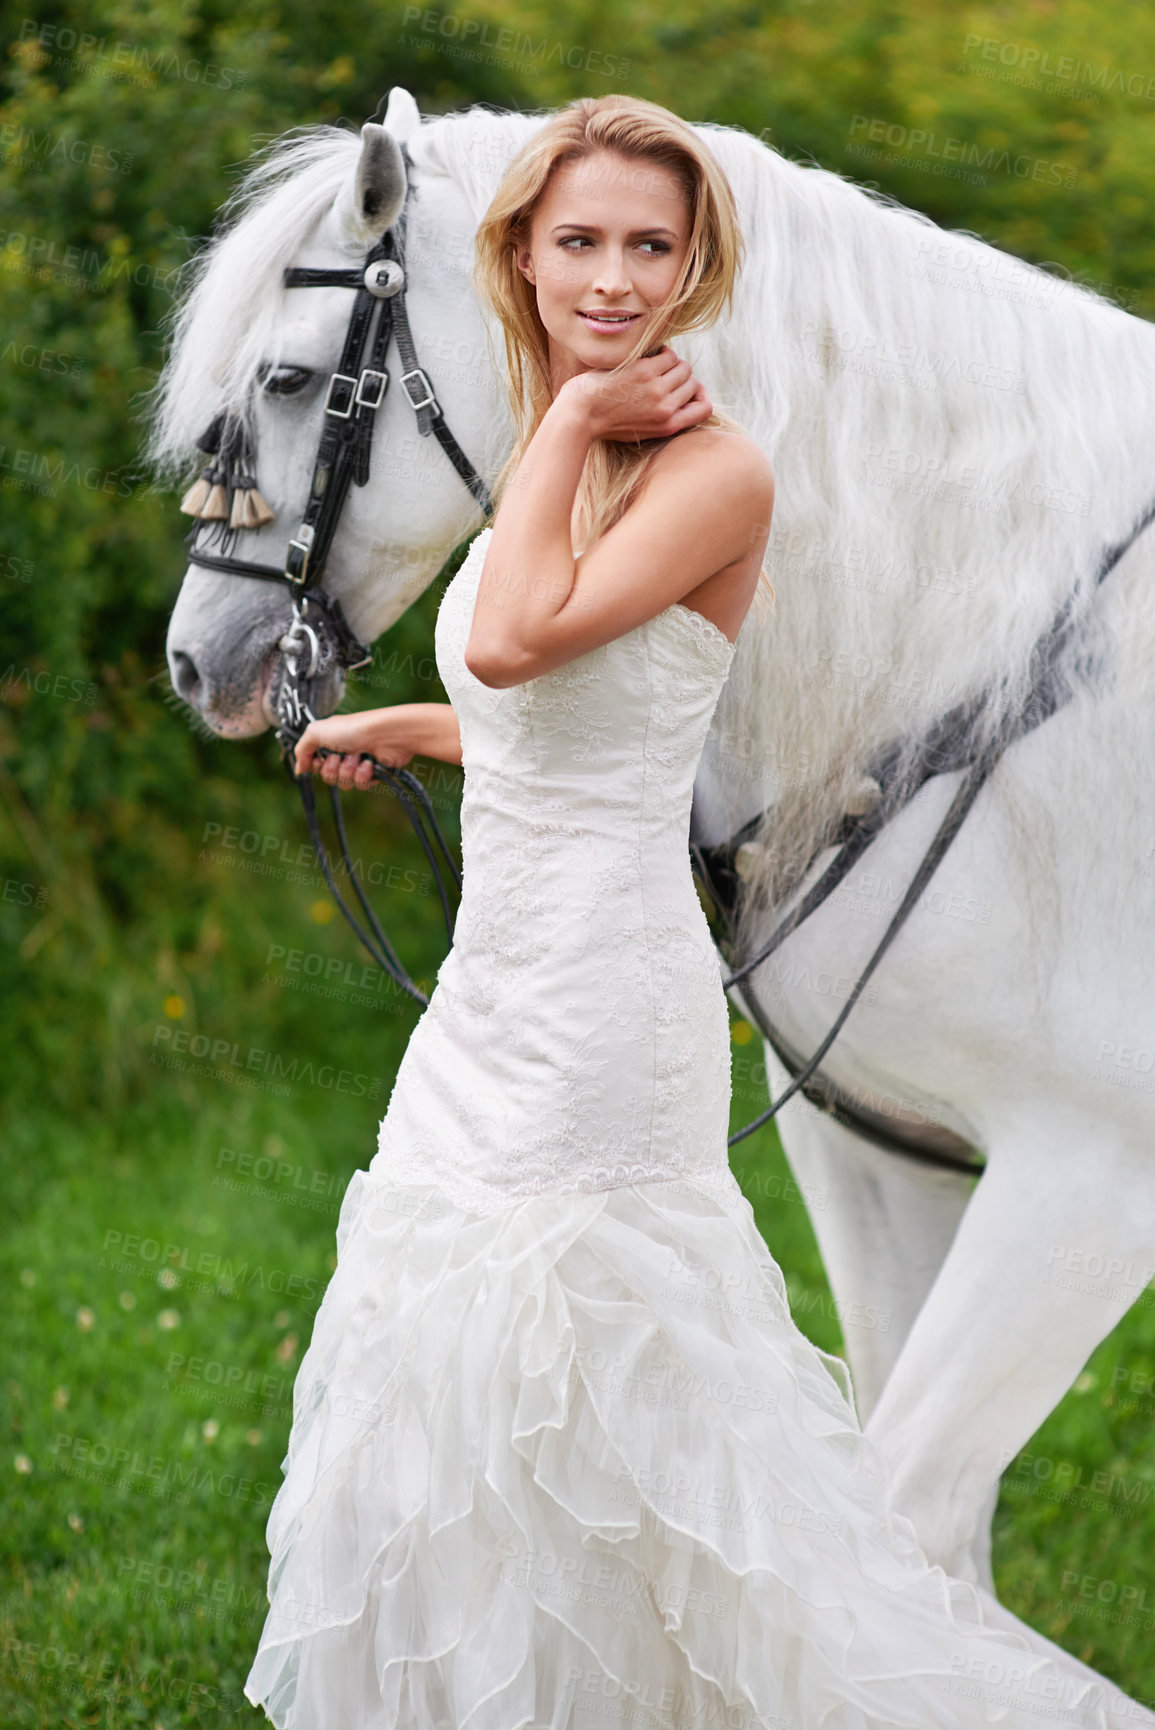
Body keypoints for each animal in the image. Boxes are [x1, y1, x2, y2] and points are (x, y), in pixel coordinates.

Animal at [148, 84, 1155, 1674]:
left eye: (295, 378)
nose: (200, 660)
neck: (989, 669)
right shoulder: (877, 1153)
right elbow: (917, 1553)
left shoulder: (1083, 1186)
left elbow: (898, 1543)